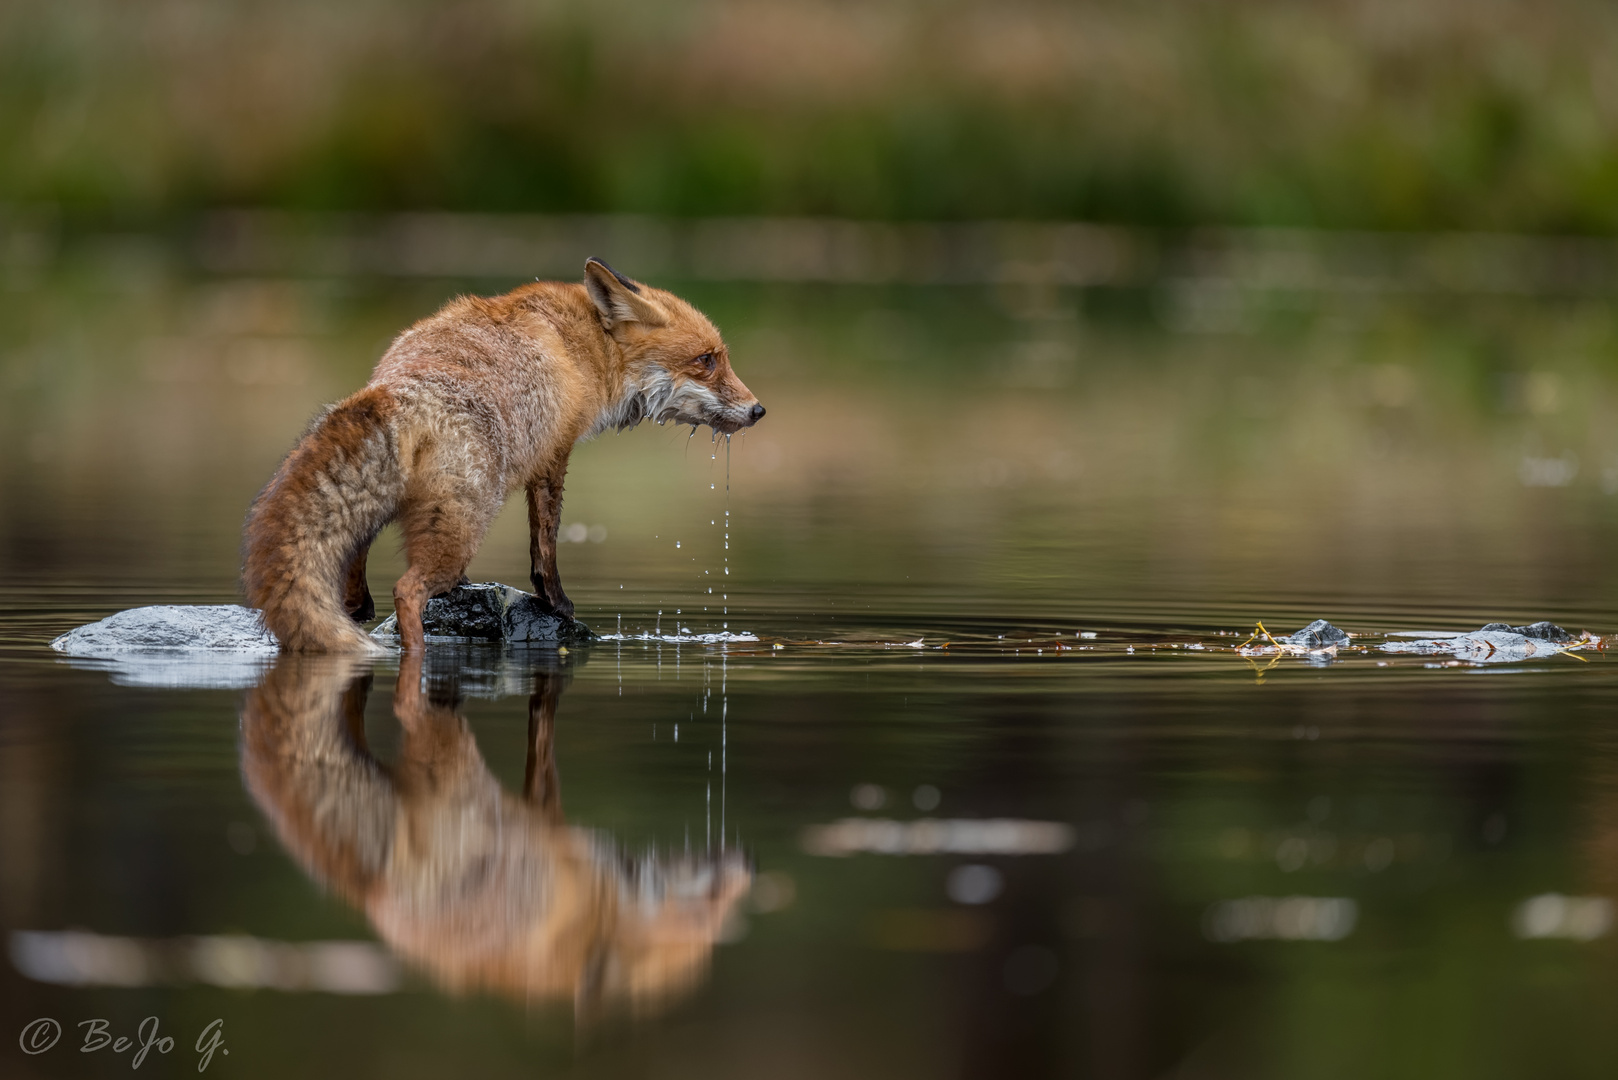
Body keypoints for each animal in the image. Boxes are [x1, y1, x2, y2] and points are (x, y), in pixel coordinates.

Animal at [244, 257, 763, 654]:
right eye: (707, 360)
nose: (758, 410)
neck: (585, 348)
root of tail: (395, 388)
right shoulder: (554, 454)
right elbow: (545, 544)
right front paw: (557, 603)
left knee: (358, 561)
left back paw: (364, 607)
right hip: (465, 522)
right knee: (407, 591)